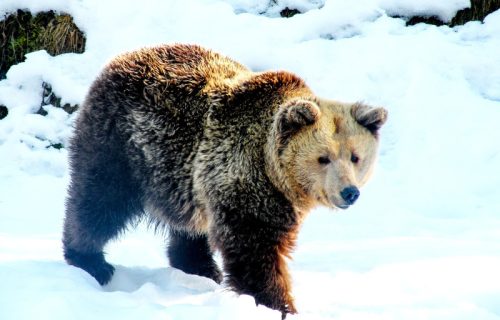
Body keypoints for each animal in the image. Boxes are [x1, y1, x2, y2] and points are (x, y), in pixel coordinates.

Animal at [62, 43, 386, 318]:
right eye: (323, 157)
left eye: (355, 157)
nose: (349, 192)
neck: (276, 174)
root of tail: (122, 58)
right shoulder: (245, 181)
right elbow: (255, 250)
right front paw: (279, 304)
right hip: (121, 145)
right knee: (99, 201)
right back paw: (90, 261)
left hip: (179, 176)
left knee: (189, 227)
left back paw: (201, 268)